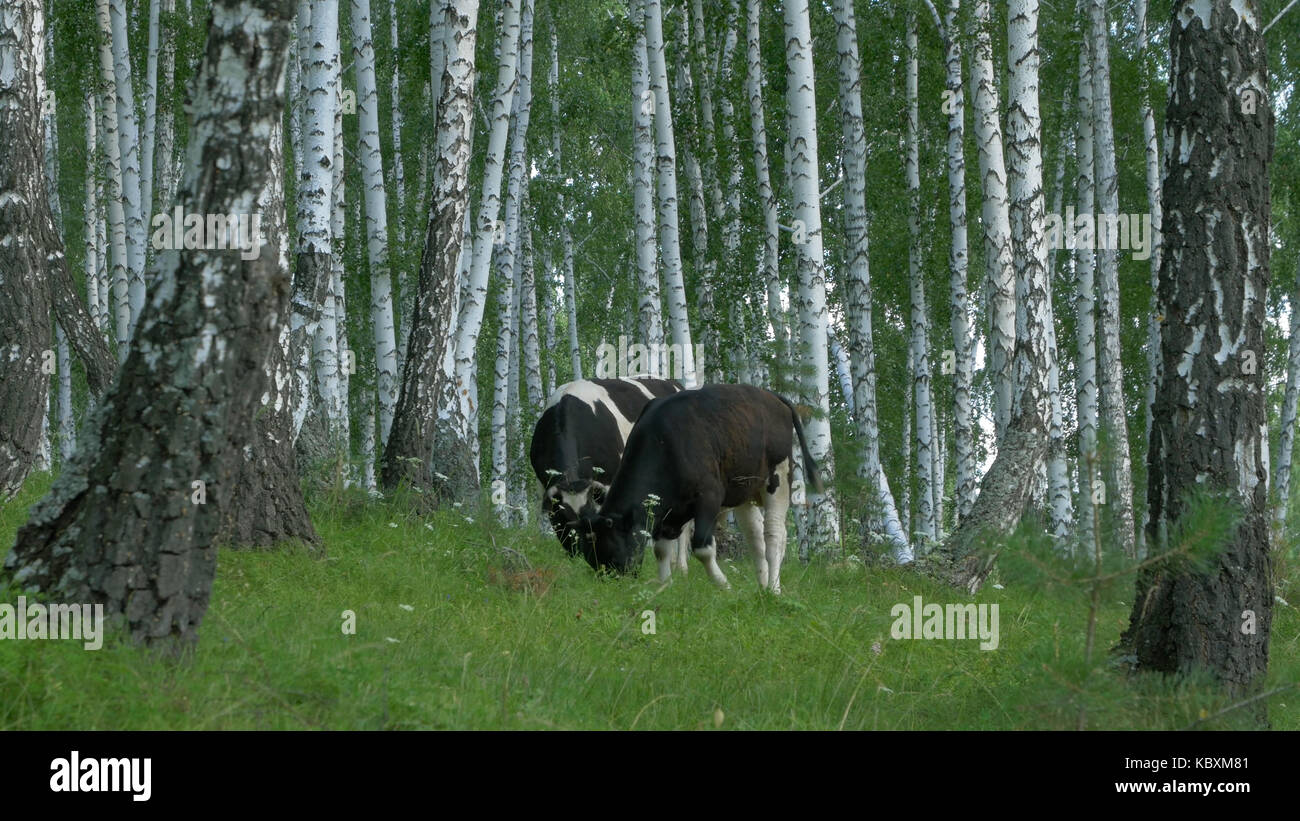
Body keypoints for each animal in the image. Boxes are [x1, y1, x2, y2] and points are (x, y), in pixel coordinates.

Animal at [529, 377, 688, 566]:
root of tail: (674, 383)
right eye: (563, 518)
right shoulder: (542, 483)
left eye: (588, 515)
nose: (579, 555)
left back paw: (681, 565)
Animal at [575, 383, 820, 593]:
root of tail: (772, 396)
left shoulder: (709, 497)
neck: (664, 442)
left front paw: (724, 585)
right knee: (756, 537)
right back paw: (762, 586)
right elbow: (661, 550)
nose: (611, 581)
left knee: (774, 534)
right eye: (590, 555)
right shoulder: (669, 513)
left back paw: (773, 589)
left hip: (778, 478)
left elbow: (702, 547)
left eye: (610, 549)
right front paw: (664, 587)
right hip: (745, 491)